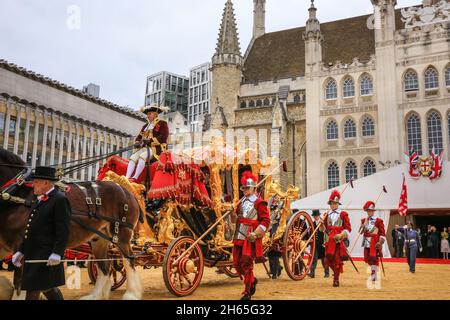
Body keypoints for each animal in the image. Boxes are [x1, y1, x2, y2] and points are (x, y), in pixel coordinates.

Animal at [0, 148, 142, 300]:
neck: (20, 193)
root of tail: (128, 191)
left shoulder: (24, 247)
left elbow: (20, 285)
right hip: (99, 238)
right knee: (104, 266)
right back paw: (95, 295)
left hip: (121, 233)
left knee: (128, 260)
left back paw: (131, 294)